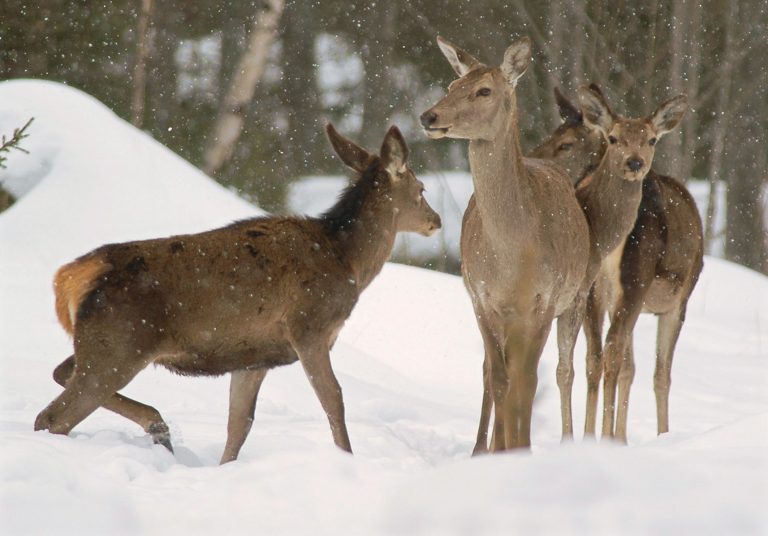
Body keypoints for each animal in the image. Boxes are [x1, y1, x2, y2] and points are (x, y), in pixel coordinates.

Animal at [34, 123, 444, 462]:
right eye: (421, 189)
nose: (436, 220)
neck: (348, 261)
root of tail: (72, 276)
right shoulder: (309, 328)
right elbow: (334, 401)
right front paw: (347, 458)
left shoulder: (254, 356)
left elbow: (239, 424)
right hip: (119, 343)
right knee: (52, 415)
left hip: (102, 342)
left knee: (60, 372)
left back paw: (159, 427)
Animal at [420, 37, 592, 454]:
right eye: (452, 85)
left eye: (484, 90)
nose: (429, 117)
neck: (514, 257)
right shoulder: (482, 299)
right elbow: (499, 379)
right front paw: (498, 451)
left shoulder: (544, 300)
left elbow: (527, 383)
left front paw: (521, 448)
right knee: (491, 372)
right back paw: (484, 446)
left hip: (577, 296)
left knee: (563, 370)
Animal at [528, 86, 704, 442]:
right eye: (613, 139)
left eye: (565, 143)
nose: (533, 157)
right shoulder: (678, 300)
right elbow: (659, 375)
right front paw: (659, 435)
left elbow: (629, 367)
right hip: (638, 280)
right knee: (615, 355)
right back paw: (608, 436)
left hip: (595, 290)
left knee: (596, 356)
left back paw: (589, 435)